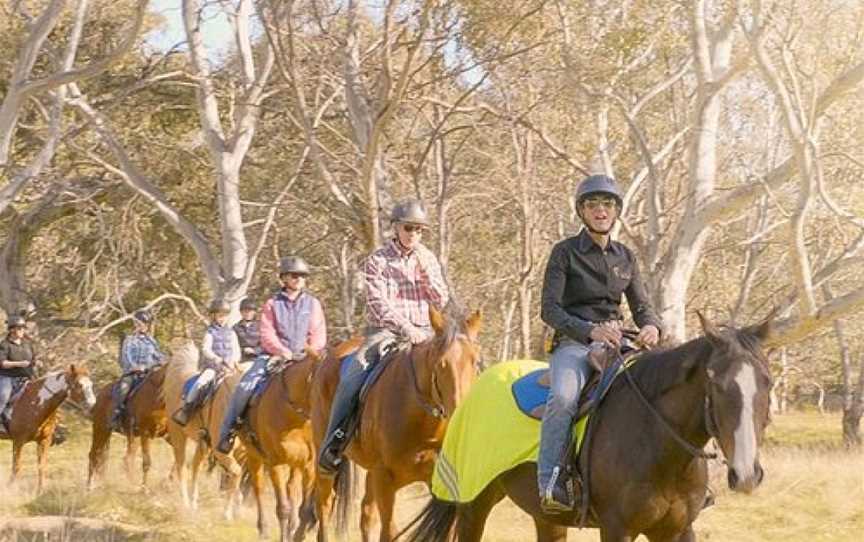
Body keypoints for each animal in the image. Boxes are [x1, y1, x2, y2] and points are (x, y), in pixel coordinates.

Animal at [0, 368, 97, 496]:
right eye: (79, 385)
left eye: (91, 384)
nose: (93, 406)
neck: (34, 403)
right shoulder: (18, 440)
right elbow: (16, 467)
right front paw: (10, 489)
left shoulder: (44, 440)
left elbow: (42, 466)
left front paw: (40, 491)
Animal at [162, 342, 245, 520]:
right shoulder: (221, 451)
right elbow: (235, 472)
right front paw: (227, 513)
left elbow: (235, 475)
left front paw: (238, 505)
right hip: (178, 435)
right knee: (182, 467)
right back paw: (186, 503)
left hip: (203, 444)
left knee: (195, 467)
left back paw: (193, 502)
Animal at [241, 352, 322, 542]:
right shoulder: (276, 463)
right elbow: (283, 508)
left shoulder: (309, 465)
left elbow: (305, 509)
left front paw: (298, 535)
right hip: (254, 456)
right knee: (258, 488)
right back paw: (263, 529)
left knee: (292, 488)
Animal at [310, 308, 482, 542]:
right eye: (441, 364)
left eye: (475, 362)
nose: (460, 414)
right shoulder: (385, 479)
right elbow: (389, 531)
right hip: (326, 460)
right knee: (325, 507)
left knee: (366, 514)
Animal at [404, 314, 776, 542]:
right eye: (716, 384)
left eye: (768, 382)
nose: (746, 475)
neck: (660, 448)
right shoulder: (616, 528)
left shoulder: (678, 531)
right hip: (473, 502)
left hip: (545, 515)